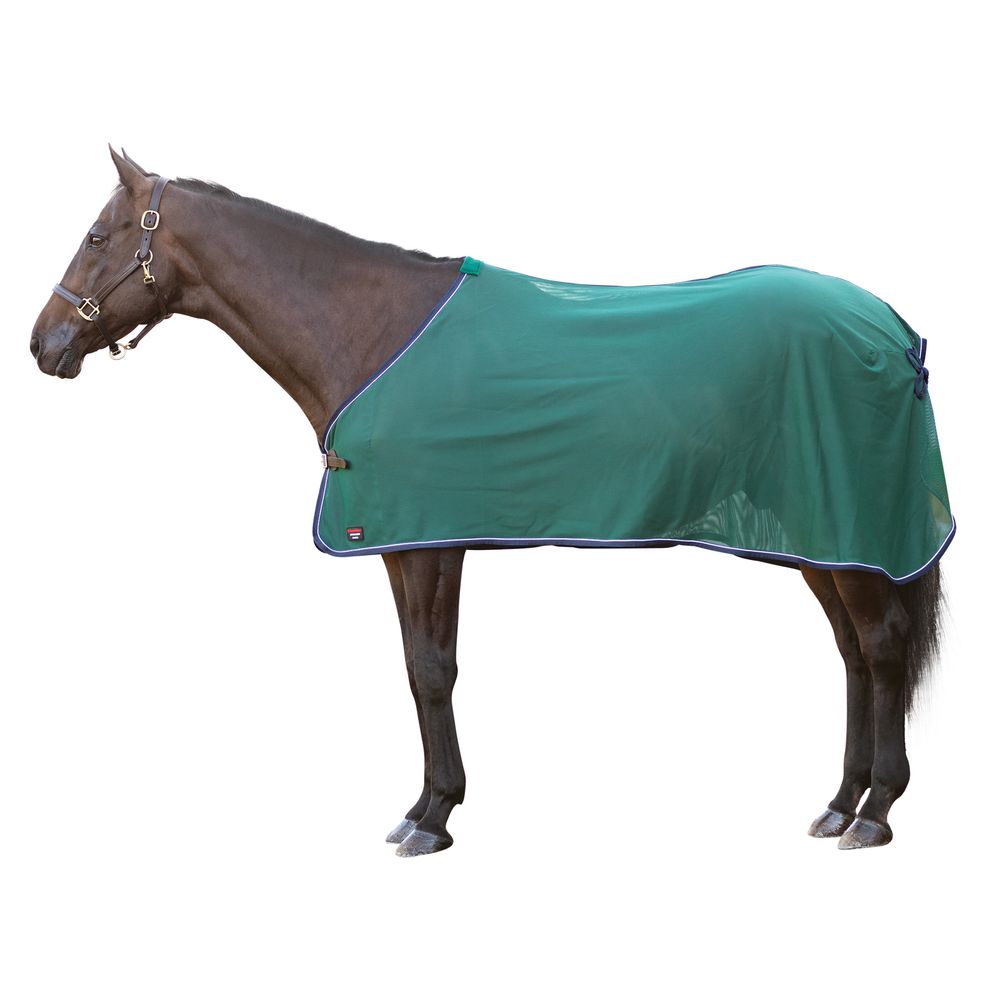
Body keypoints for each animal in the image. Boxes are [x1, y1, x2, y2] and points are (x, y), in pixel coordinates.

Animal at [30, 148, 950, 856]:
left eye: (97, 236)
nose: (45, 343)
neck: (369, 334)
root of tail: (892, 330)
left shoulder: (428, 541)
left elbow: (432, 670)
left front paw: (432, 818)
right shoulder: (407, 543)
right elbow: (416, 667)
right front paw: (427, 807)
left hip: (849, 537)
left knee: (880, 647)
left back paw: (875, 812)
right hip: (824, 538)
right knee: (855, 654)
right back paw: (839, 803)